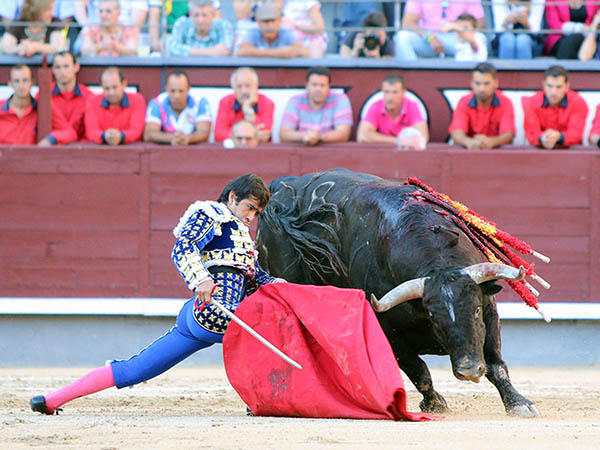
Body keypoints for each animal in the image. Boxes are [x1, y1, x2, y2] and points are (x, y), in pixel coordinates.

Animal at [256, 170, 540, 418]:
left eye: (476, 309)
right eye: (434, 316)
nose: (469, 369)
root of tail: (280, 188)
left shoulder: (490, 315)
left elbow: (495, 364)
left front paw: (518, 404)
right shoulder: (389, 332)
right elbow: (420, 371)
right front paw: (435, 404)